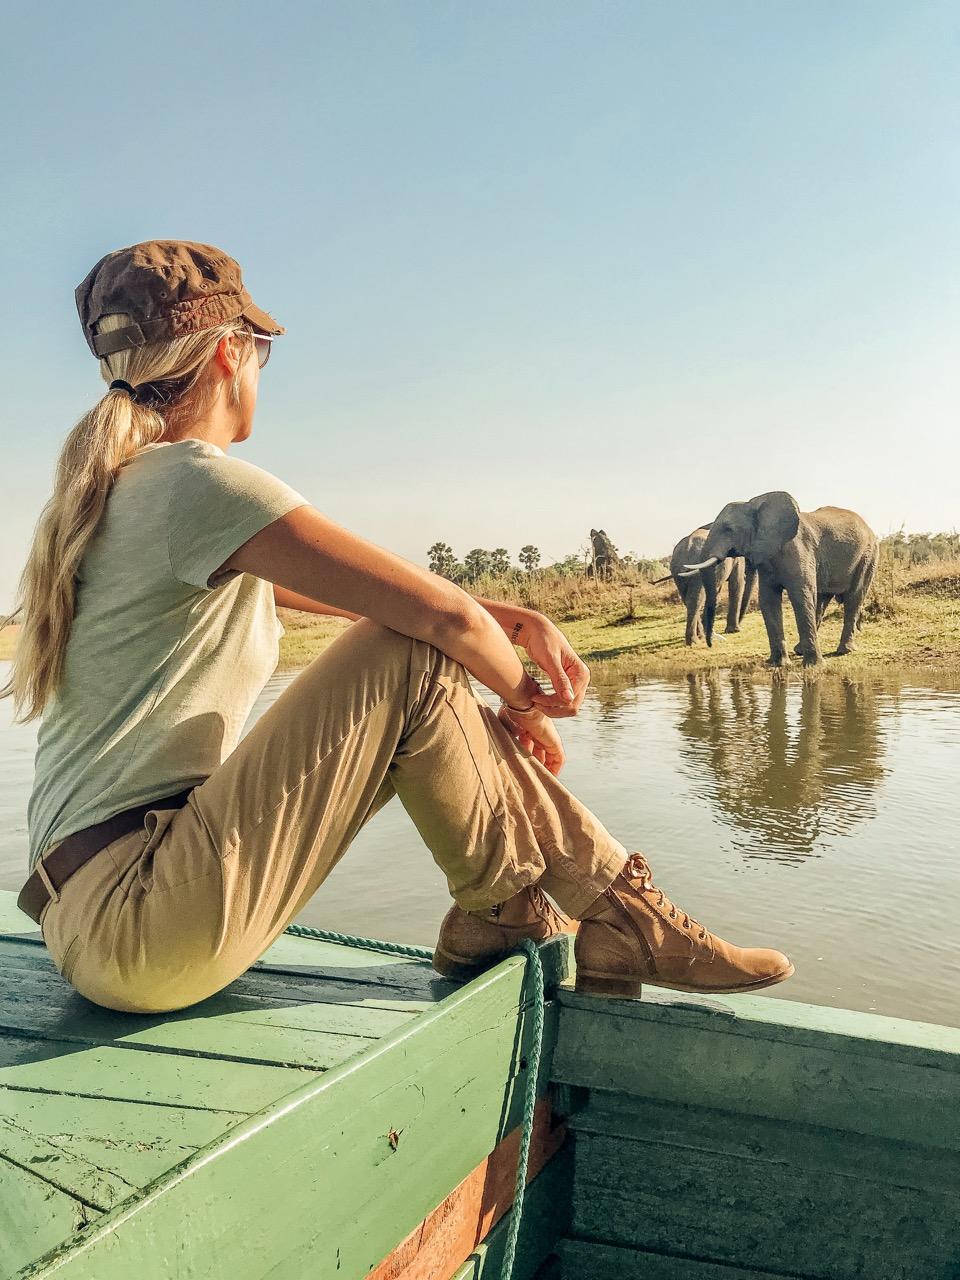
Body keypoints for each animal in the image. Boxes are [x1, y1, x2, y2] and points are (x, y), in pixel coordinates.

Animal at [686, 491, 880, 670]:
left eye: (728, 529)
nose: (711, 644)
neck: (754, 504)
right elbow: (768, 600)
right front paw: (778, 664)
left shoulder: (798, 551)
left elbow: (801, 596)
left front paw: (813, 666)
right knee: (822, 599)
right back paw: (800, 650)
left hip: (868, 556)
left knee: (854, 597)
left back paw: (844, 651)